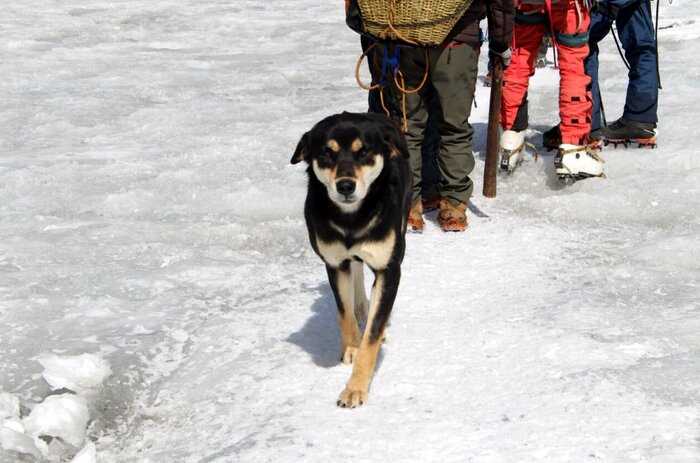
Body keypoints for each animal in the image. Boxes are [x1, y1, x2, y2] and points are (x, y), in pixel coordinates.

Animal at [290, 113, 410, 410]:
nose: (345, 185)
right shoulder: (334, 263)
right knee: (356, 273)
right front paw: (352, 345)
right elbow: (344, 313)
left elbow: (373, 335)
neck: (352, 219)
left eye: (363, 151)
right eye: (327, 153)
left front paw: (355, 388)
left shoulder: (389, 269)